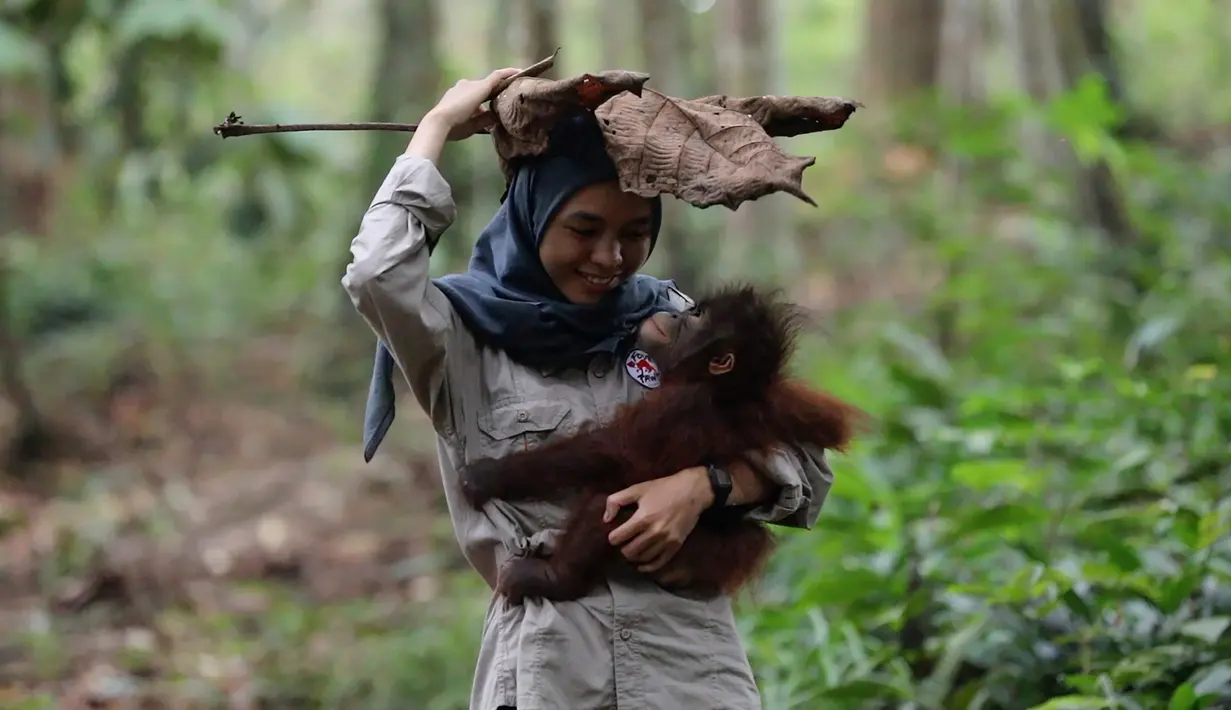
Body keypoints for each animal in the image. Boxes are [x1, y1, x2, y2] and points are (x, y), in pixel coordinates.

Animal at [457, 283, 865, 605]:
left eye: (695, 315)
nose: (673, 311)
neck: (713, 385)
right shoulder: (766, 400)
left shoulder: (676, 405)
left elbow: (611, 451)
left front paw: (487, 477)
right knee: (751, 535)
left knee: (608, 503)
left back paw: (552, 579)